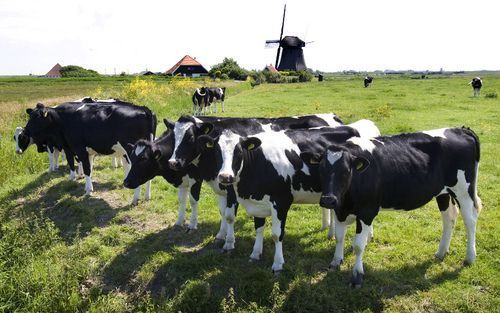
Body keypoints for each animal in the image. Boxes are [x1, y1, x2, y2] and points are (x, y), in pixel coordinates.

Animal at [23, 99, 155, 202]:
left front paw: (88, 191)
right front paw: (86, 186)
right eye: (30, 116)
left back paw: (135, 198)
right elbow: (90, 168)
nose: (25, 131)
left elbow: (85, 168)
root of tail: (144, 109)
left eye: (37, 118)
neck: (63, 119)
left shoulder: (78, 148)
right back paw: (147, 196)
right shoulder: (86, 151)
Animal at [166, 113, 346, 250]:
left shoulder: (230, 189)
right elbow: (223, 213)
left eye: (190, 137)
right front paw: (220, 235)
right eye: (173, 137)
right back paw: (328, 230)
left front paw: (228, 242)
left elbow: (228, 215)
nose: (173, 163)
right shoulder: (222, 187)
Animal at [191, 118, 378, 270]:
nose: (225, 177)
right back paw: (332, 234)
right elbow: (259, 227)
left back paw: (368, 236)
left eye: (239, 151)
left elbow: (276, 234)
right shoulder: (258, 202)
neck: (259, 163)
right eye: (216, 151)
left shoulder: (281, 202)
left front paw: (278, 264)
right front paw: (255, 253)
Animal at [312, 127, 480, 288]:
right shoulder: (340, 210)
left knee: (470, 221)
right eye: (321, 170)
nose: (328, 200)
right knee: (449, 218)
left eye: (346, 171)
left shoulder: (367, 211)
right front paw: (335, 262)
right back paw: (441, 252)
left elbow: (358, 245)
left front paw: (357, 276)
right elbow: (339, 237)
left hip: (464, 191)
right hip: (443, 193)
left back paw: (469, 257)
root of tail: (460, 129)